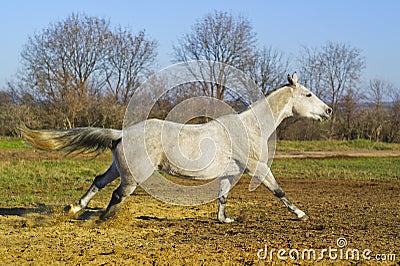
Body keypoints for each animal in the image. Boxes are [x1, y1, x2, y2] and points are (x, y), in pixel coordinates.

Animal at [23, 72, 332, 222]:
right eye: (308, 94)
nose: (329, 111)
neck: (250, 127)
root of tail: (121, 133)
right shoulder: (258, 167)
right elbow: (279, 191)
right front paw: (301, 214)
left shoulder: (230, 172)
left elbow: (222, 197)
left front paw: (224, 220)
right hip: (133, 177)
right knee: (117, 195)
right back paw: (101, 219)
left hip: (117, 169)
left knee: (98, 181)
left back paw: (74, 209)